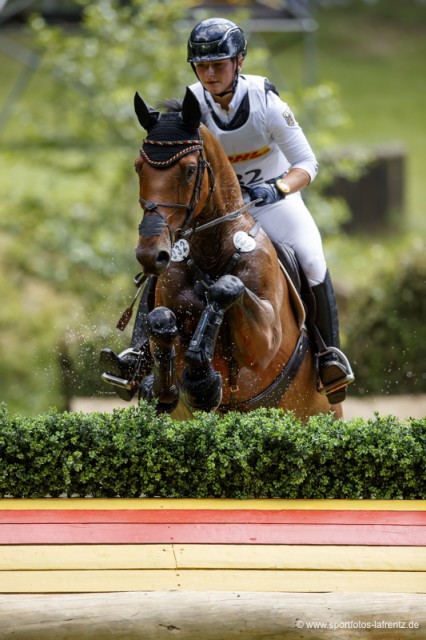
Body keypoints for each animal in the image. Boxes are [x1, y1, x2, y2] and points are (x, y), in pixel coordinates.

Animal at [115, 87, 340, 422]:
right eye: (138, 168)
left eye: (190, 170)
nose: (150, 254)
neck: (210, 252)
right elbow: (160, 320)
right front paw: (173, 385)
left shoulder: (266, 339)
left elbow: (228, 288)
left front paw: (202, 379)